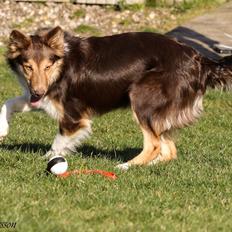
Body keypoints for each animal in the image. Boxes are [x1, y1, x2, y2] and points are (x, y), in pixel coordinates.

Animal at [0, 26, 232, 169]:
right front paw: (3, 130)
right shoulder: (42, 99)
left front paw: (48, 160)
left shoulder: (74, 116)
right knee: (169, 150)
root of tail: (200, 59)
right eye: (28, 67)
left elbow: (59, 142)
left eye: (47, 66)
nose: (38, 92)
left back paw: (125, 167)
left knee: (153, 145)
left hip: (141, 97)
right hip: (160, 111)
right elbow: (8, 102)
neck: (62, 66)